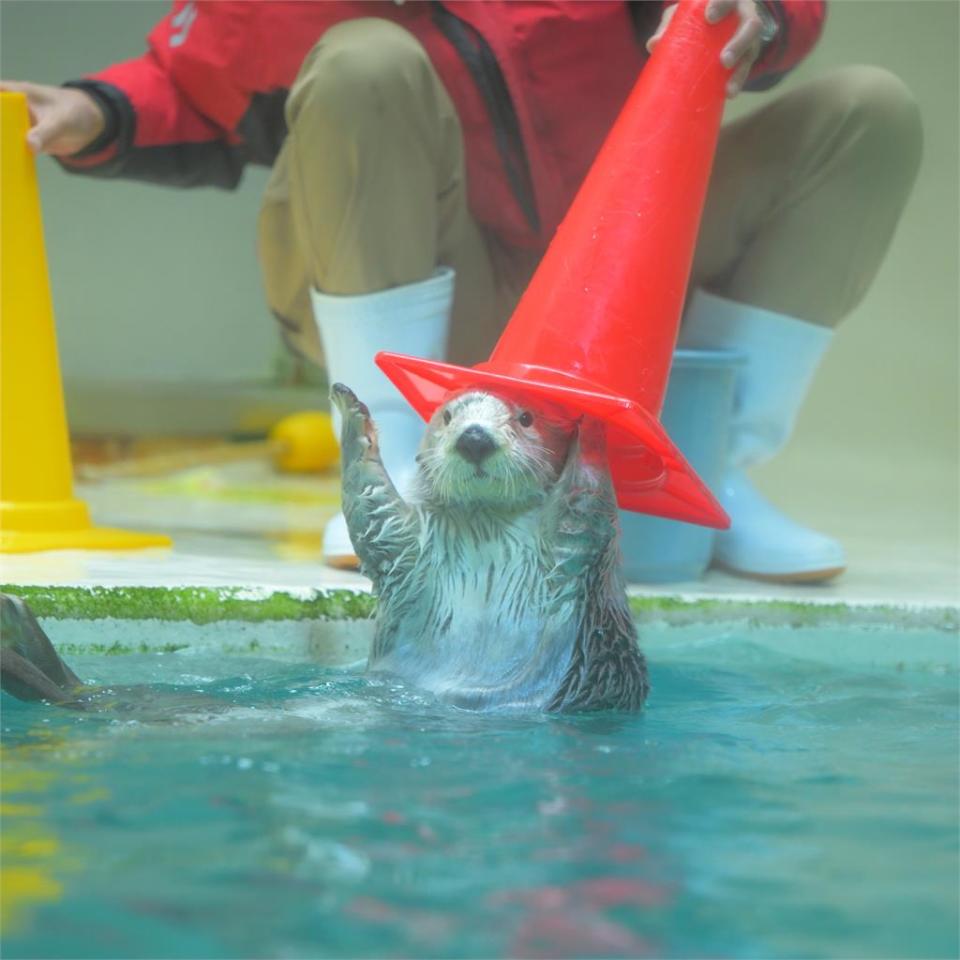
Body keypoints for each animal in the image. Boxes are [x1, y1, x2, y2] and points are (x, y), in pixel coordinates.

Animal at [332, 382, 652, 712]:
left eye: (526, 418)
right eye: (448, 416)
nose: (474, 438)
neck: (487, 529)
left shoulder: (575, 558)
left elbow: (587, 497)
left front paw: (593, 420)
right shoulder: (409, 557)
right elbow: (371, 507)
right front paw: (350, 410)